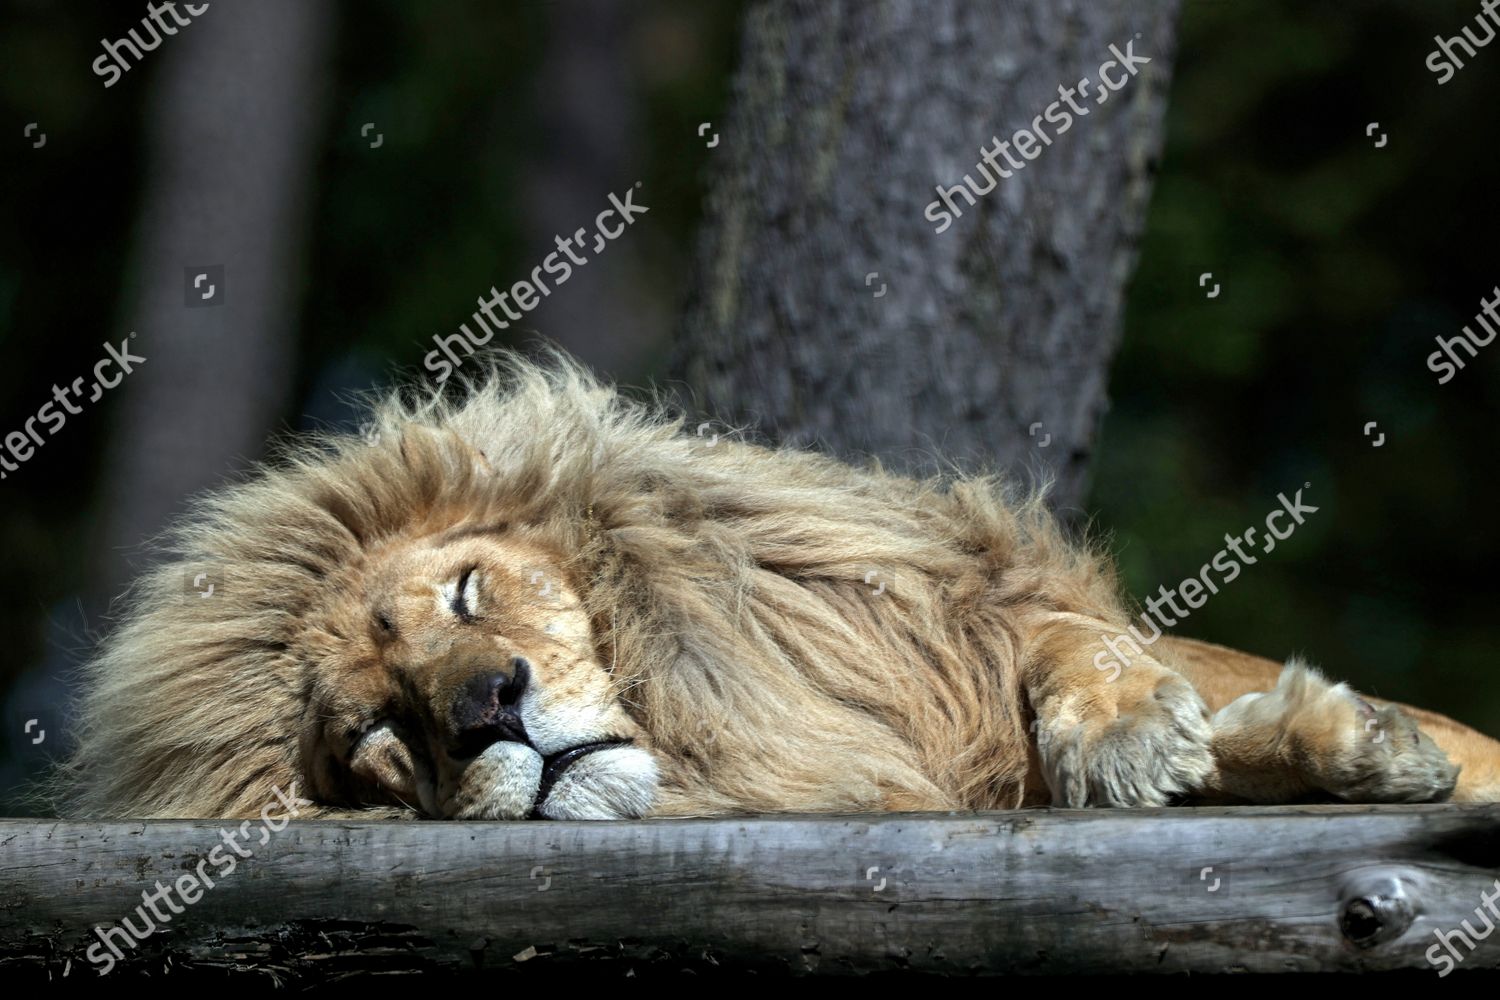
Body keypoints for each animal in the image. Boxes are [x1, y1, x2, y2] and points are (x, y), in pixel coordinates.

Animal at [55, 352, 1500, 821]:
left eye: (467, 594)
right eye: (368, 731)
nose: (485, 711)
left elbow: (1068, 649)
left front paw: (1144, 732)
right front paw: (1352, 747)